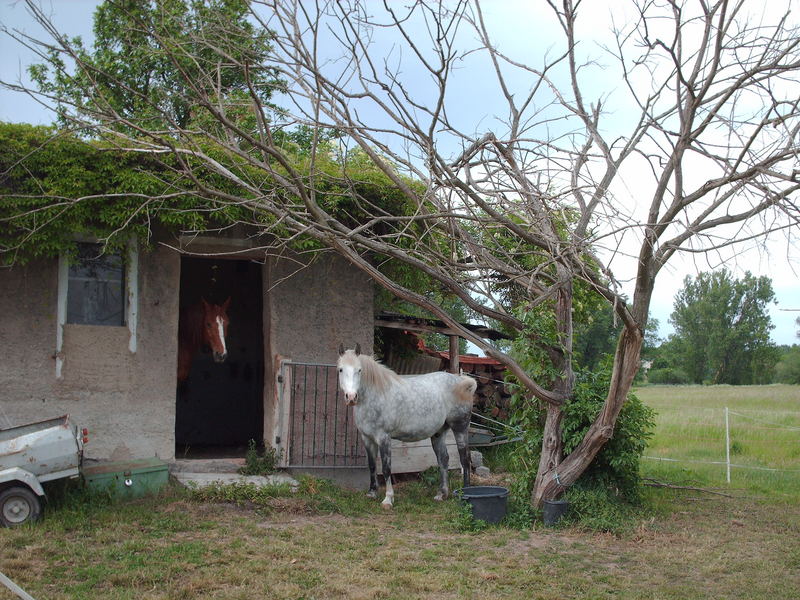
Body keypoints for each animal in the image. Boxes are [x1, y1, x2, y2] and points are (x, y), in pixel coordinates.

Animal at [336, 344, 476, 508]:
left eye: (359, 370)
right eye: (341, 369)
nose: (351, 397)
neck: (375, 395)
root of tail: (462, 382)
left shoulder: (384, 438)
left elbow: (386, 468)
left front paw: (388, 499)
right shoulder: (367, 438)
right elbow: (372, 465)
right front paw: (372, 493)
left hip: (460, 428)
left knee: (465, 459)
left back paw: (465, 494)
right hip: (438, 433)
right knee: (444, 459)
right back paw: (442, 494)